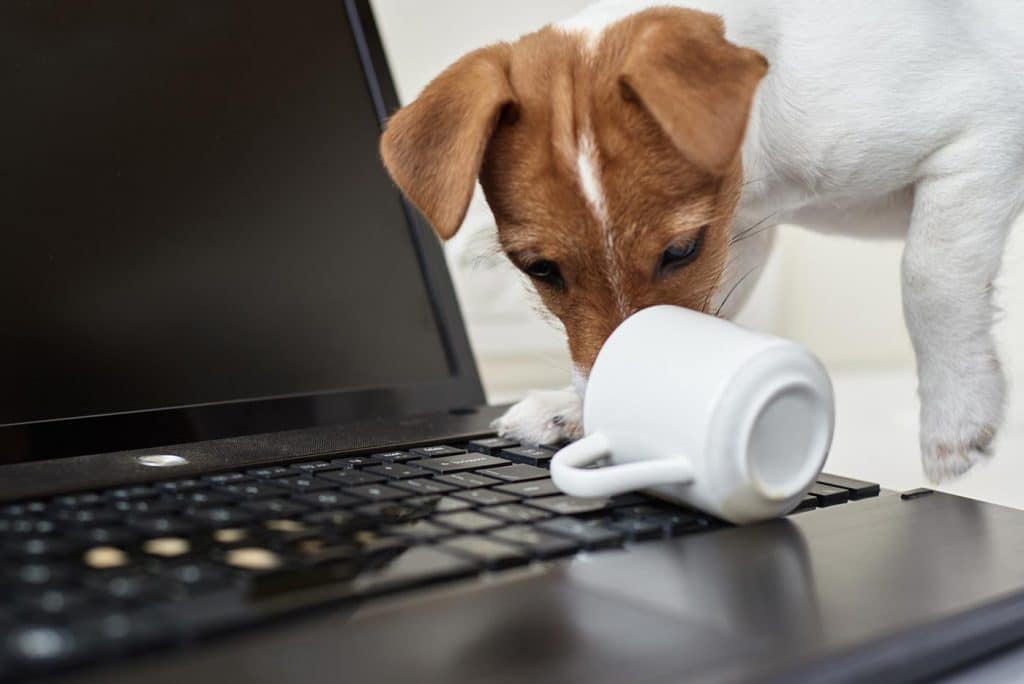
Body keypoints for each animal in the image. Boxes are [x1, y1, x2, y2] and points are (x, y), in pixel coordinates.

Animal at [378, 1, 1024, 481]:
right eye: (540, 269)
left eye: (681, 249)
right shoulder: (740, 234)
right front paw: (575, 407)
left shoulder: (984, 134)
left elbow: (930, 279)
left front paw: (954, 414)